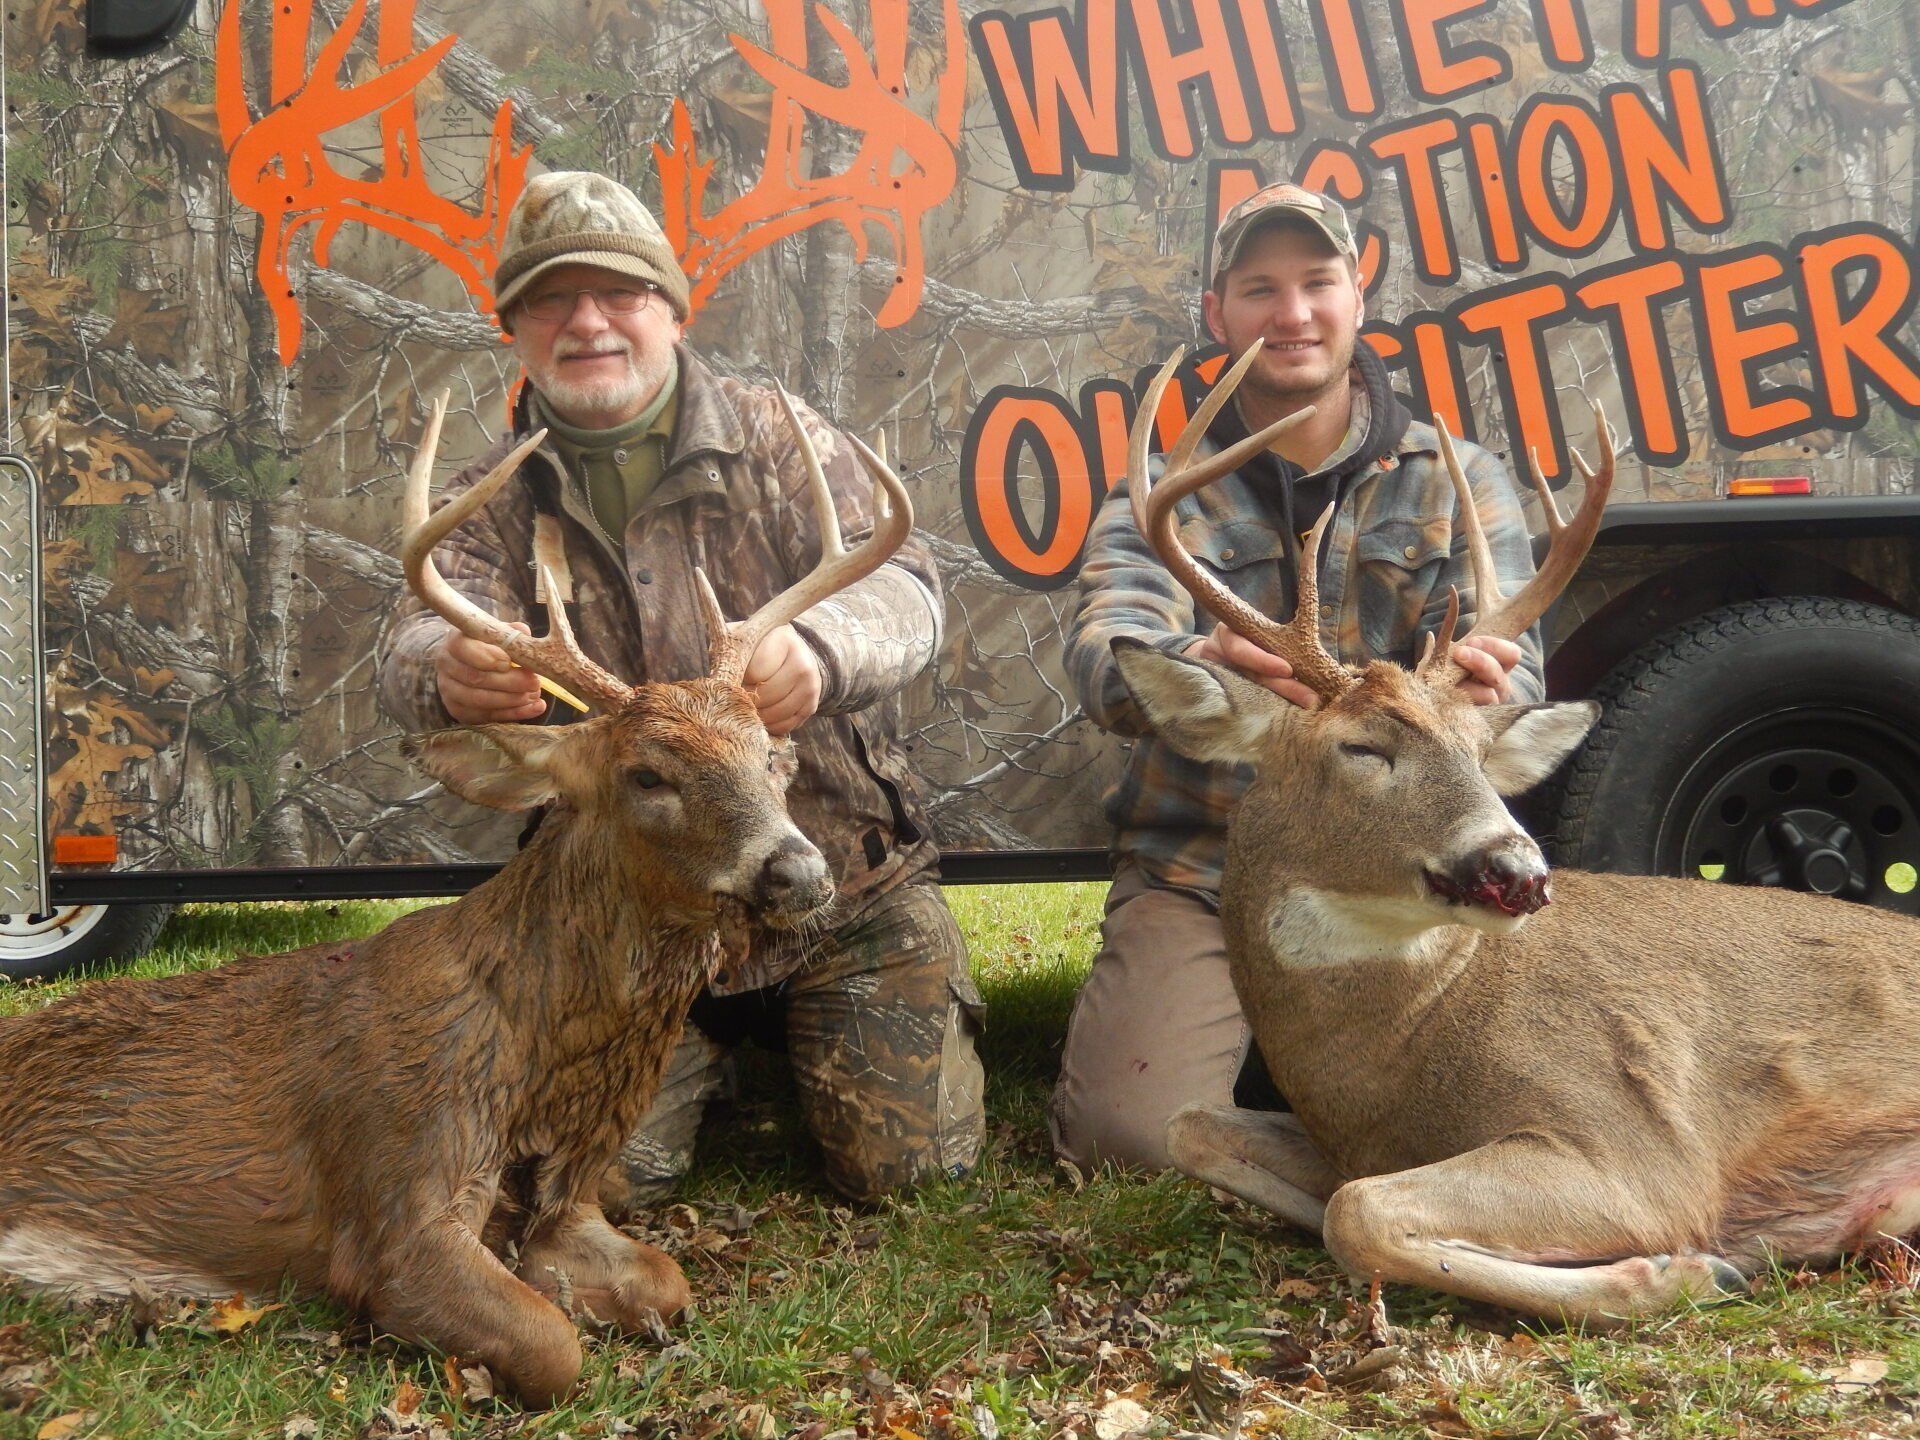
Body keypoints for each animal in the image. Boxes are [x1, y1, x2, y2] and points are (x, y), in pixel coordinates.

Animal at [0, 388, 911, 1405]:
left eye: (775, 758)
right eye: (647, 774)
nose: (800, 872)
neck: (539, 1055)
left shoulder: (568, 1191)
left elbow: (667, 1284)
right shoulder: (396, 1191)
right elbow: (555, 1349)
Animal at [1109, 343, 1920, 1325]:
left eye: (1478, 750)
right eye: (1361, 746)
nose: (1518, 868)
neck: (1387, 1065)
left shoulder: (1638, 1149)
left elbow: (1356, 1211)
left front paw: (1685, 1270)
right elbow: (1194, 1129)